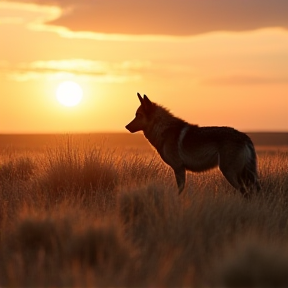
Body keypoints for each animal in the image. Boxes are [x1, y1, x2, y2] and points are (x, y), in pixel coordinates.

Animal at [125, 93, 260, 197]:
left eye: (138, 115)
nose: (126, 126)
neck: (163, 129)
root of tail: (245, 137)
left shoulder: (179, 168)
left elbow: (180, 190)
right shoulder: (180, 169)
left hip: (229, 172)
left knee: (245, 192)